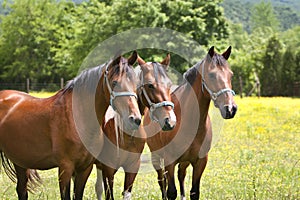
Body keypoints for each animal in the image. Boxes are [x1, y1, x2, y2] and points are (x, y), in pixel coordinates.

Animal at [0, 52, 142, 200]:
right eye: (115, 82)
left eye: (136, 83)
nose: (134, 119)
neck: (78, 119)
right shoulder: (65, 168)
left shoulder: (85, 169)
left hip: (20, 161)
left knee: (22, 190)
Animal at [145, 47, 237, 200]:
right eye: (212, 75)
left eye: (231, 75)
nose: (230, 109)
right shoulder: (169, 160)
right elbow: (171, 192)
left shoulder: (200, 162)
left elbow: (194, 192)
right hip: (156, 157)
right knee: (161, 181)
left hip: (184, 161)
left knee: (181, 175)